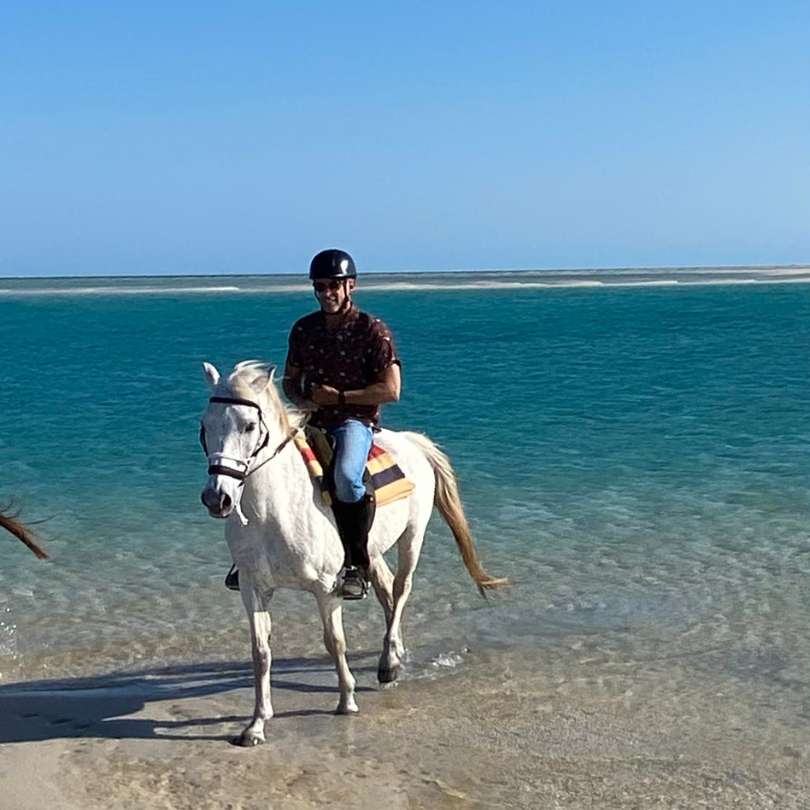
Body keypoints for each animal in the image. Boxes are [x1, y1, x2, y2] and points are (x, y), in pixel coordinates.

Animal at [199, 360, 502, 744]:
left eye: (250, 425)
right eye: (205, 424)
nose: (217, 498)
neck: (275, 510)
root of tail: (412, 442)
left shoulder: (326, 588)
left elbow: (335, 641)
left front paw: (347, 700)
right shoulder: (254, 588)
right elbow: (261, 651)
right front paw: (256, 724)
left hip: (412, 536)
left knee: (401, 589)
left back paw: (389, 665)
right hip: (371, 550)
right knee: (386, 591)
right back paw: (394, 653)